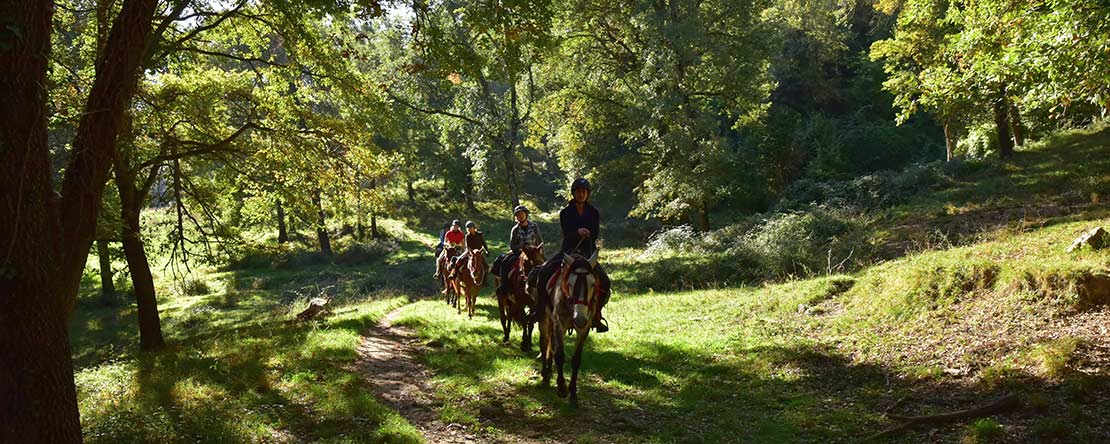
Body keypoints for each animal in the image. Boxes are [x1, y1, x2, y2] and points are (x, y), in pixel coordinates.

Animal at [538, 248, 601, 406]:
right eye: (570, 284)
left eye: (592, 284)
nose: (580, 319)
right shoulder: (559, 324)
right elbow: (559, 355)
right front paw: (561, 388)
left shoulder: (584, 328)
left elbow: (576, 359)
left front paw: (573, 392)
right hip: (545, 319)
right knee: (545, 342)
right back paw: (545, 374)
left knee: (551, 343)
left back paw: (549, 370)